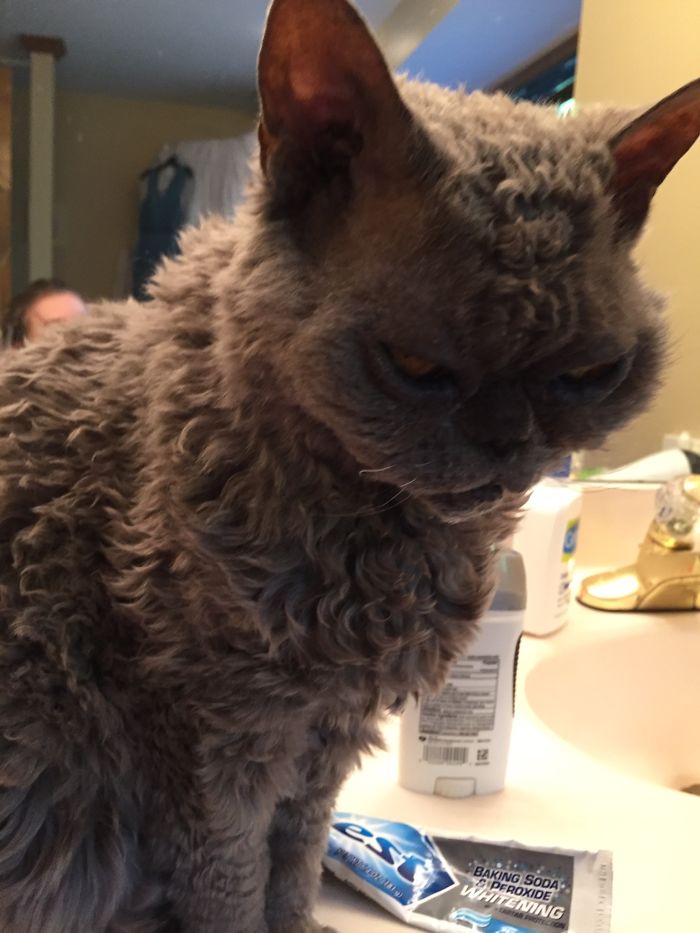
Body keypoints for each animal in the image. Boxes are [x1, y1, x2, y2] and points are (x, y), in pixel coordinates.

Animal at [0, 1, 696, 932]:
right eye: (416, 364)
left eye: (588, 373)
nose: (508, 441)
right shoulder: (214, 743)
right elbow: (231, 887)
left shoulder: (323, 736)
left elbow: (294, 860)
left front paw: (299, 919)